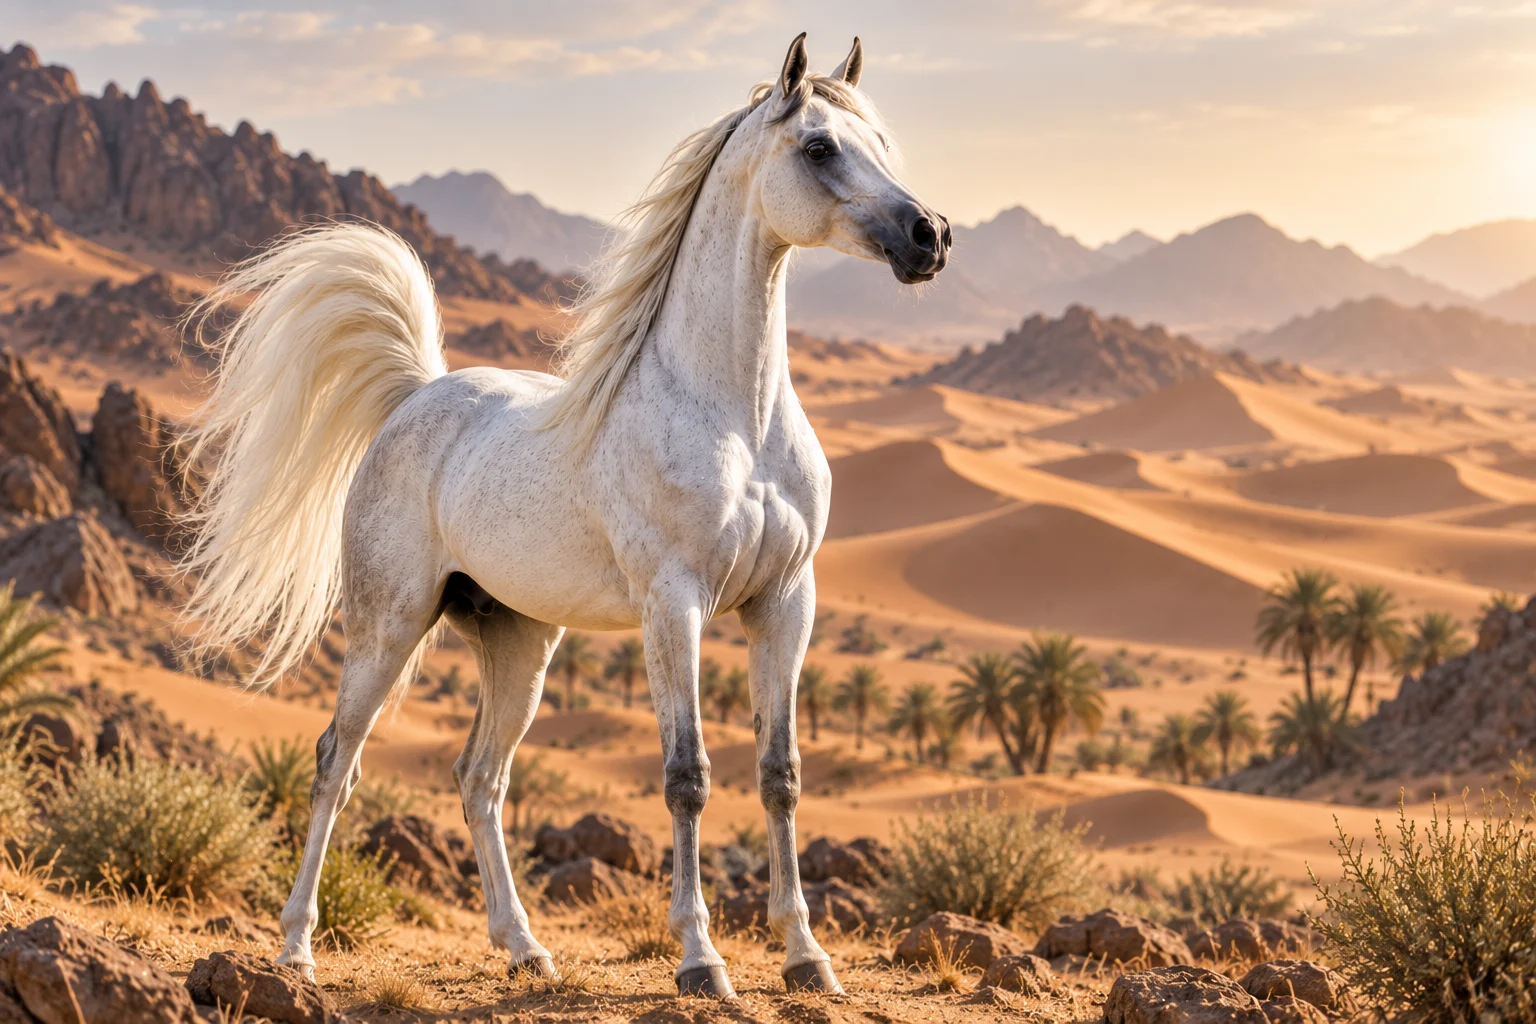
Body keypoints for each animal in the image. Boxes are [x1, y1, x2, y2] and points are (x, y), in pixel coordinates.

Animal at [180, 33, 950, 998]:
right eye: (818, 148)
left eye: (880, 142)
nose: (930, 236)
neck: (734, 412)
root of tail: (417, 394)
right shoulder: (674, 604)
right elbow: (687, 775)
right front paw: (701, 959)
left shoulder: (785, 604)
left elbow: (781, 775)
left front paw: (807, 956)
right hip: (387, 626)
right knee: (336, 761)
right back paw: (297, 949)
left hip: (519, 642)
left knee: (480, 779)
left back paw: (525, 947)